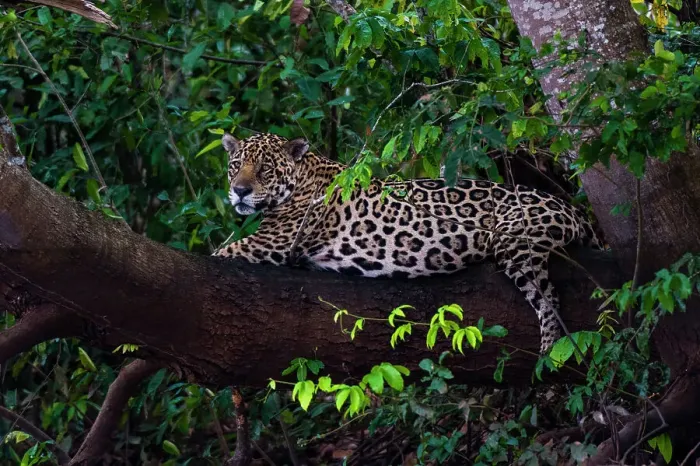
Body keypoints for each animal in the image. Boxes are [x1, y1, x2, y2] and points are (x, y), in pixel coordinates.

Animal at [214, 132, 604, 353]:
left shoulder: (272, 243)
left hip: (515, 243)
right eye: (235, 165)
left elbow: (221, 251)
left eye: (264, 169)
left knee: (549, 298)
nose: (239, 191)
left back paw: (550, 349)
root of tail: (568, 206)